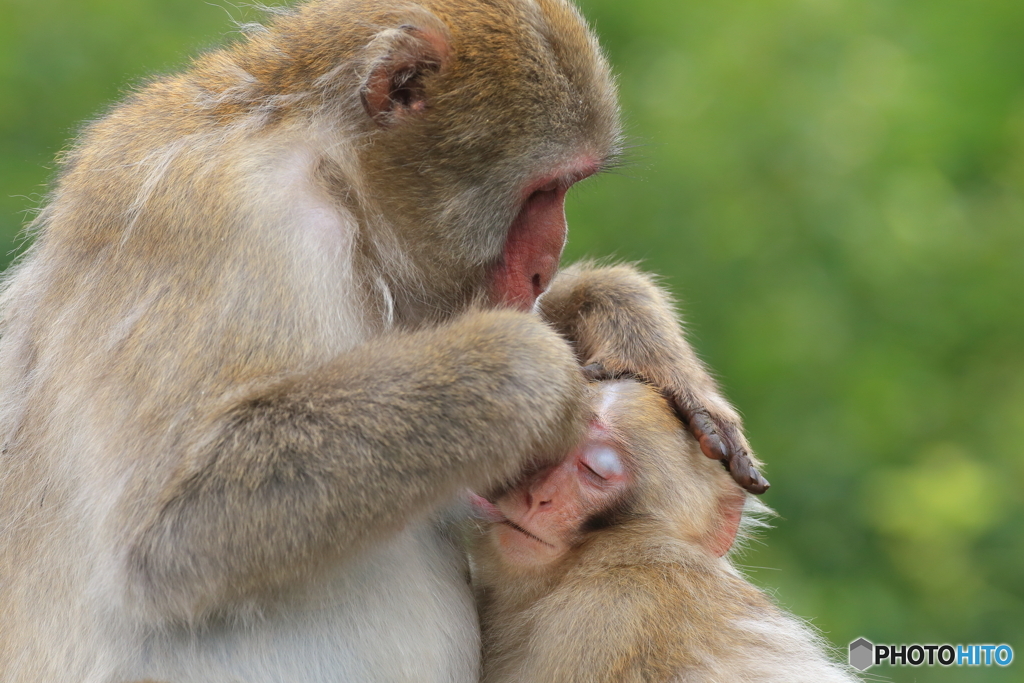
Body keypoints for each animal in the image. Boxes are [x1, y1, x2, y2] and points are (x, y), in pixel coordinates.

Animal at [2, 1, 770, 683]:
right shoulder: (210, 218)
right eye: (544, 189)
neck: (332, 175)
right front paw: (537, 375)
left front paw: (627, 323)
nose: (545, 263)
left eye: (567, 188)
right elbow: (164, 529)